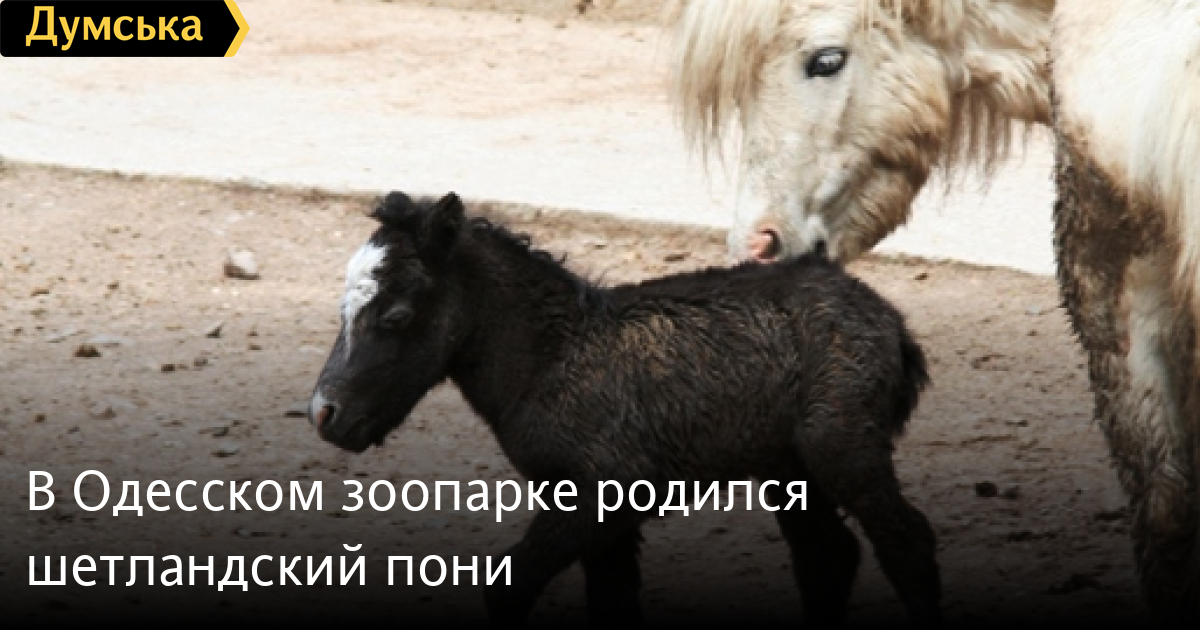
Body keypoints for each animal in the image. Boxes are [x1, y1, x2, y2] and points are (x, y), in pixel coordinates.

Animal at [309, 191, 941, 626]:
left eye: (396, 315)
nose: (324, 413)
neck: (551, 357)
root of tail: (893, 324)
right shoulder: (601, 520)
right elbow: (611, 601)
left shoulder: (599, 500)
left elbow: (508, 586)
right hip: (790, 470)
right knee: (828, 556)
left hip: (846, 448)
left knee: (905, 541)